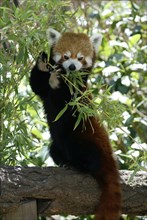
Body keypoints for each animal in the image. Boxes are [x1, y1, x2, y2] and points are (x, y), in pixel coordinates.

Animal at [29, 28, 121, 219]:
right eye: (65, 56)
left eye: (80, 58)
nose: (72, 67)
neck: (67, 76)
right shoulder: (44, 89)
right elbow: (37, 84)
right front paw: (43, 62)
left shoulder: (76, 93)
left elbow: (65, 98)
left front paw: (55, 80)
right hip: (57, 145)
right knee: (54, 149)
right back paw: (65, 162)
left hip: (83, 137)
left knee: (90, 158)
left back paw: (78, 166)